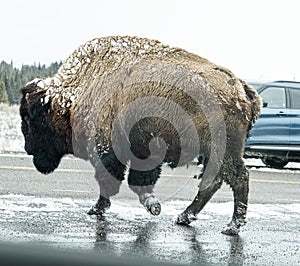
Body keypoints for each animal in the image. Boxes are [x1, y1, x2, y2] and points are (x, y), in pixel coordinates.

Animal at [19, 35, 262, 235]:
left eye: (30, 118)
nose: (28, 149)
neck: (75, 95)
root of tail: (241, 88)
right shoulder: (142, 152)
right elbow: (137, 181)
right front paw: (152, 206)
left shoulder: (108, 149)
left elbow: (112, 180)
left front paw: (99, 209)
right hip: (213, 152)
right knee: (213, 181)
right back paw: (184, 218)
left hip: (222, 149)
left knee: (237, 177)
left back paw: (231, 227)